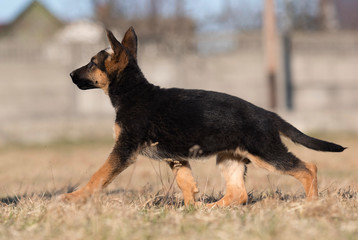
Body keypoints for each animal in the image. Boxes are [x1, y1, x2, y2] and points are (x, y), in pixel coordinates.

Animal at [65, 26, 346, 206]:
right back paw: (210, 210)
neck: (133, 91)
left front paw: (75, 197)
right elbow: (186, 184)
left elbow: (100, 175)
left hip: (266, 153)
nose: (70, 75)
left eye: (92, 63)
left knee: (308, 168)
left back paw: (312, 204)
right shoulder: (176, 157)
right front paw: (190, 210)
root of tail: (268, 114)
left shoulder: (124, 149)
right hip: (230, 158)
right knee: (238, 194)